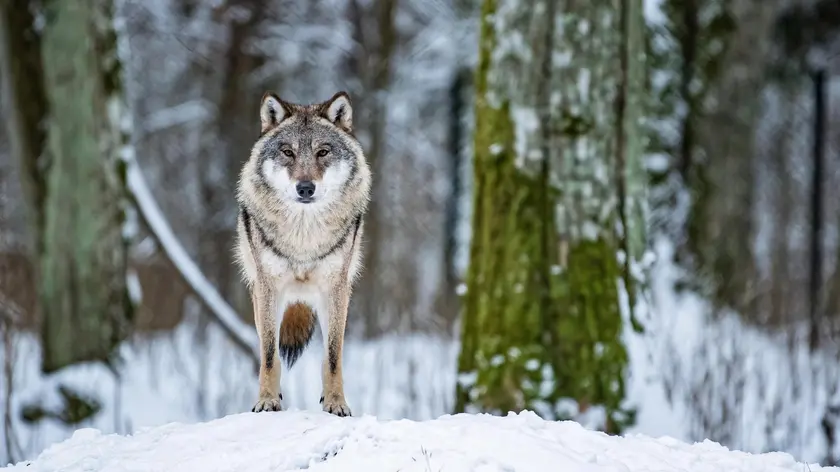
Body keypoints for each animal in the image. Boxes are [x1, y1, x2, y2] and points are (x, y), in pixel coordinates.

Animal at [233, 90, 370, 414]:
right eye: (288, 152)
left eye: (322, 152)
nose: (305, 188)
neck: (303, 239)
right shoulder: (268, 288)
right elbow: (270, 355)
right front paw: (267, 401)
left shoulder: (336, 289)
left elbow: (332, 356)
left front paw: (336, 404)